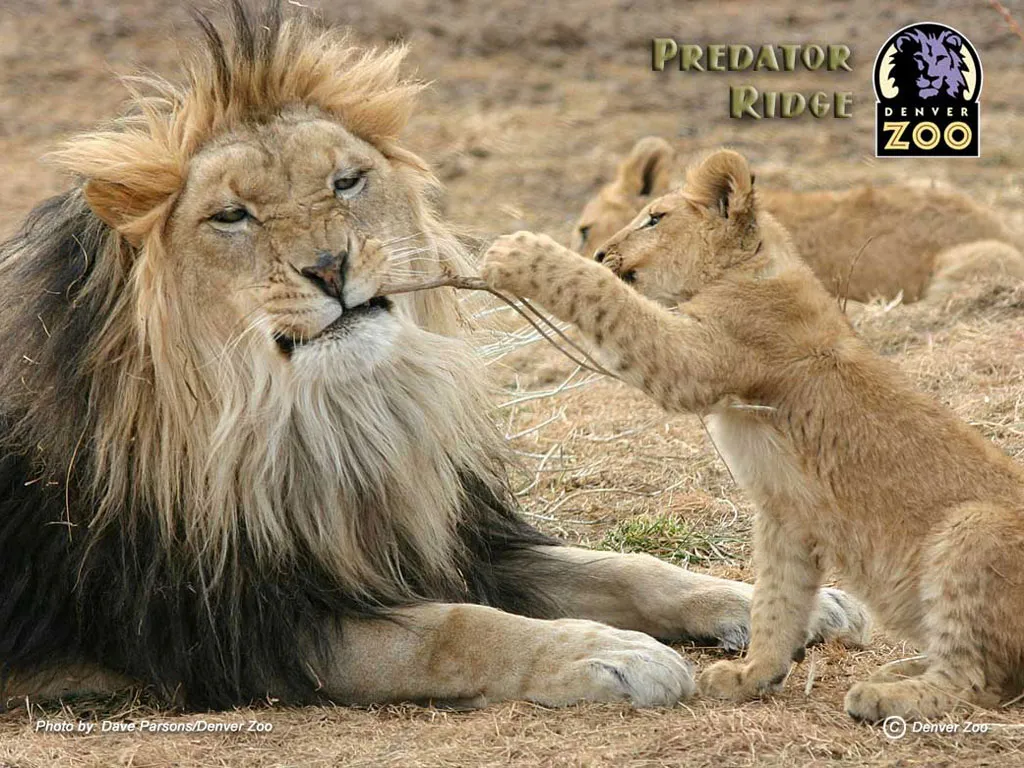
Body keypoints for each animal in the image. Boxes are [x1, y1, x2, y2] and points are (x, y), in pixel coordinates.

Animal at [0, 4, 869, 710]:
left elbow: (619, 567)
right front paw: (608, 654)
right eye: (231, 216)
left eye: (347, 181)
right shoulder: (241, 626)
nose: (330, 267)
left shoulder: (453, 537)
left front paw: (776, 605)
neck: (323, 420)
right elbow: (453, 631)